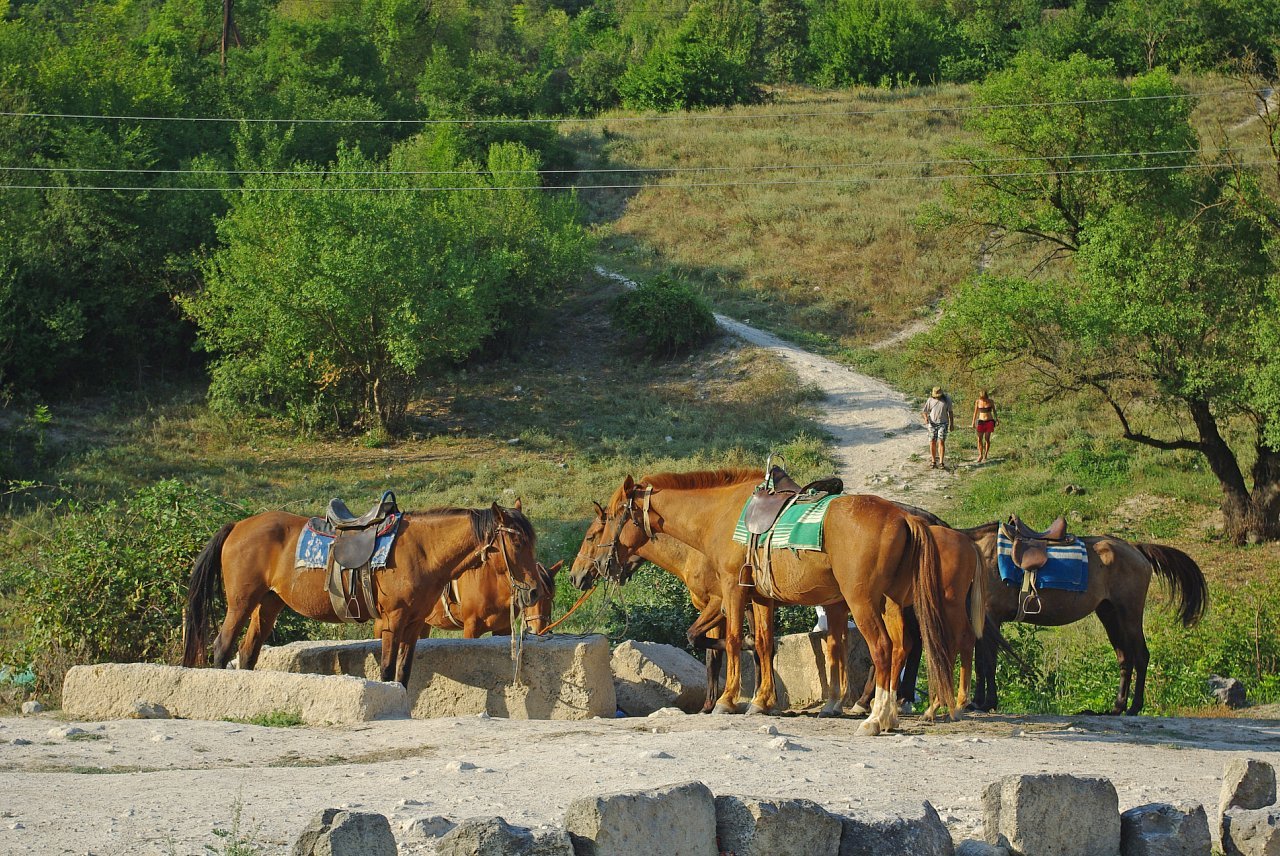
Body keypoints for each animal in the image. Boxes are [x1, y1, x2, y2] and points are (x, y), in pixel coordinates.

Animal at [183, 504, 537, 685]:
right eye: (518, 541)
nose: (533, 591)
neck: (423, 550)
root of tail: (237, 525)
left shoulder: (414, 624)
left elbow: (403, 672)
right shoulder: (393, 620)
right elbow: (386, 669)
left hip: (268, 604)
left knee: (248, 652)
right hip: (241, 603)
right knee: (222, 646)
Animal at [576, 468, 957, 737]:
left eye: (604, 523)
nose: (584, 573)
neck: (720, 515)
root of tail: (904, 516)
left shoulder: (730, 592)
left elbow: (729, 643)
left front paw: (726, 701)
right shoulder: (758, 598)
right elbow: (762, 644)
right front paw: (760, 701)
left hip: (863, 602)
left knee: (882, 648)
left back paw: (875, 716)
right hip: (891, 603)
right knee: (901, 647)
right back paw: (886, 712)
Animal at [962, 522, 1203, 716]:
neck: (980, 556)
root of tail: (1135, 548)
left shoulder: (992, 617)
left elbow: (988, 663)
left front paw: (988, 703)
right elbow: (979, 663)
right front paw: (976, 702)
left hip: (1130, 614)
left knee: (1141, 656)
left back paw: (1134, 707)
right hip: (1110, 614)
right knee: (1125, 659)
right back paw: (1116, 708)